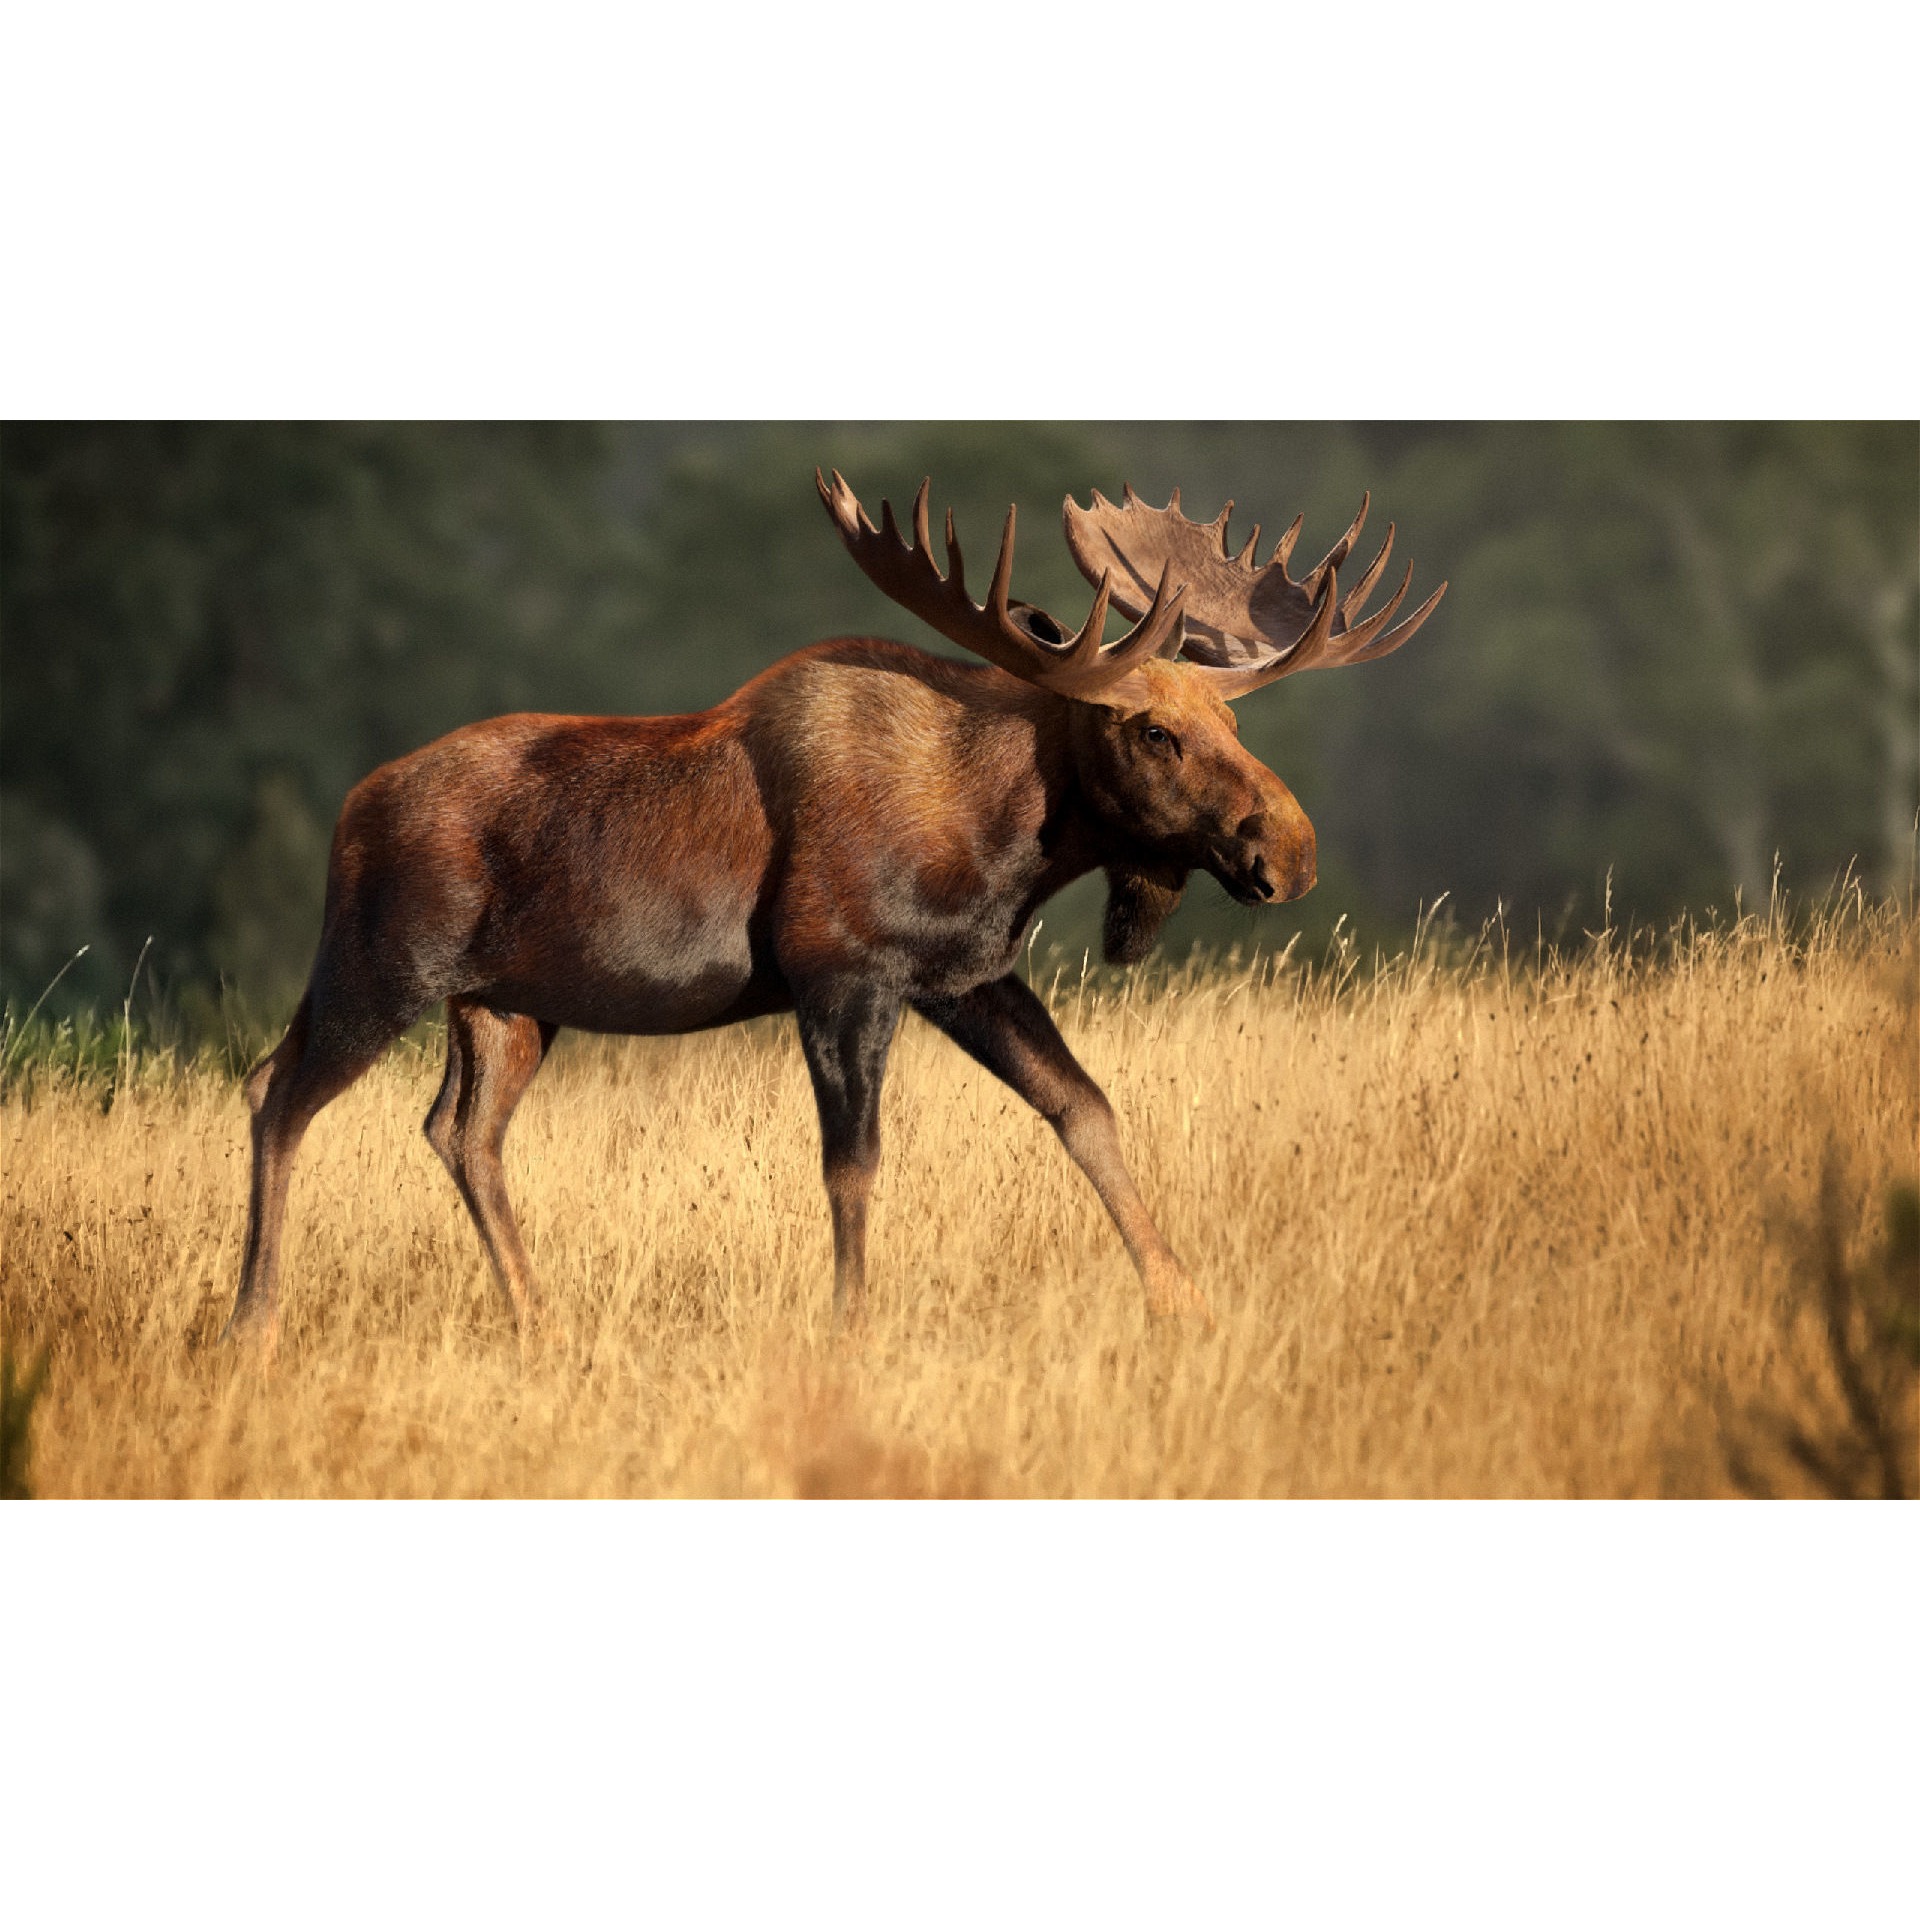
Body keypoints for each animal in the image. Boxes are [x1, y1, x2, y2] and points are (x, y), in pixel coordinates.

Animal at [222, 469, 1444, 1354]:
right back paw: (253, 1324)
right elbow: (852, 1165)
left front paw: (1183, 1301)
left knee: (460, 1130)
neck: (1004, 832)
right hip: (378, 966)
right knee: (276, 1093)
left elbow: (1085, 1109)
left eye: (1230, 723)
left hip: (507, 1007)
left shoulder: (968, 976)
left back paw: (539, 1321)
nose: (1290, 852)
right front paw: (851, 1330)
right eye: (1152, 732)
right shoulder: (841, 972)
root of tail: (350, 810)